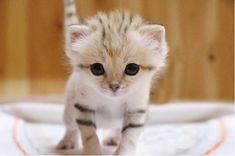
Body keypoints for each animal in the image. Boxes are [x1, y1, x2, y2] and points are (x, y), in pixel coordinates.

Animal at [57, 0, 167, 154]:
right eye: (97, 69)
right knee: (71, 127)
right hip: (69, 110)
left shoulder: (137, 110)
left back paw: (113, 138)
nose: (114, 86)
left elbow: (129, 137)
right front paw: (93, 153)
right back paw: (68, 141)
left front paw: (123, 152)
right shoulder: (83, 108)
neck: (112, 101)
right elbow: (90, 136)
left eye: (132, 69)